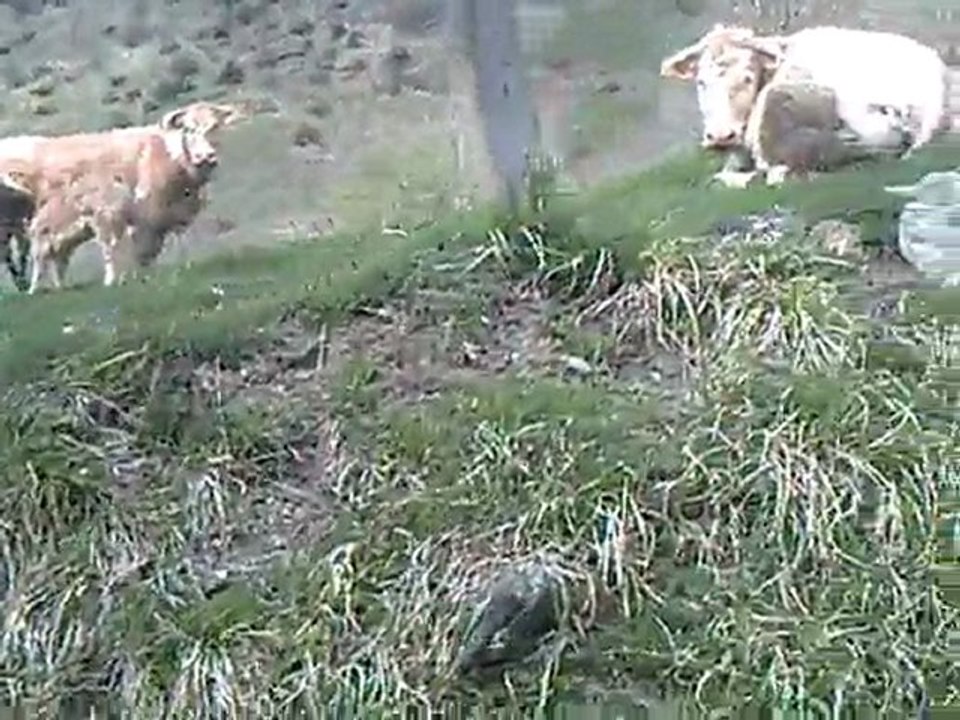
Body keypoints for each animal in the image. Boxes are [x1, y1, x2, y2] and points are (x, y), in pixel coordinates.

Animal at [0, 101, 246, 292]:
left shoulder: (163, 220)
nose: (208, 157)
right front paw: (117, 280)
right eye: (189, 129)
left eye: (215, 128)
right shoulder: (125, 218)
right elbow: (122, 250)